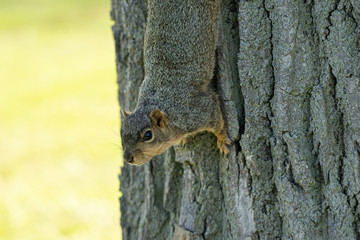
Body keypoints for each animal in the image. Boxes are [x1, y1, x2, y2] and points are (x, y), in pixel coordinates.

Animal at [119, 0, 229, 165]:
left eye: (148, 135)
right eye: (122, 132)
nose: (128, 158)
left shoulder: (199, 111)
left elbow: (217, 123)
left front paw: (223, 140)